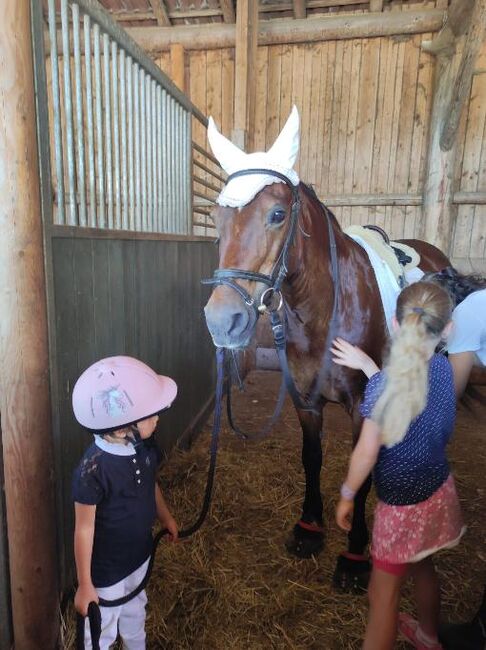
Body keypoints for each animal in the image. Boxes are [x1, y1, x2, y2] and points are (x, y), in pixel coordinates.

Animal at [203, 175, 450, 588]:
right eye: (216, 219)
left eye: (277, 214)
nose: (223, 321)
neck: (327, 309)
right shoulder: (305, 401)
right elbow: (311, 458)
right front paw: (309, 528)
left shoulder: (362, 406)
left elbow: (360, 475)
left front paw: (355, 556)